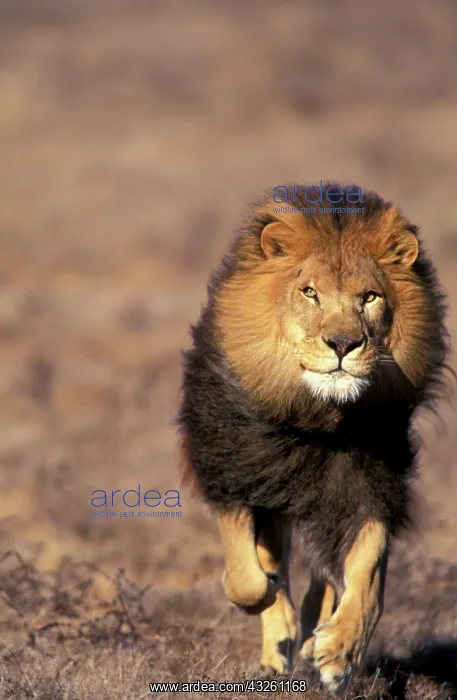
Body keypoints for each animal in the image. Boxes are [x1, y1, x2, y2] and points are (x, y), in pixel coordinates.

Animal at [178, 184, 449, 696]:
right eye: (310, 292)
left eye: (370, 297)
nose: (343, 344)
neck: (319, 419)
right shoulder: (234, 473)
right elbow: (247, 580)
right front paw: (276, 615)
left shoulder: (370, 485)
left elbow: (367, 582)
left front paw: (338, 653)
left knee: (326, 575)